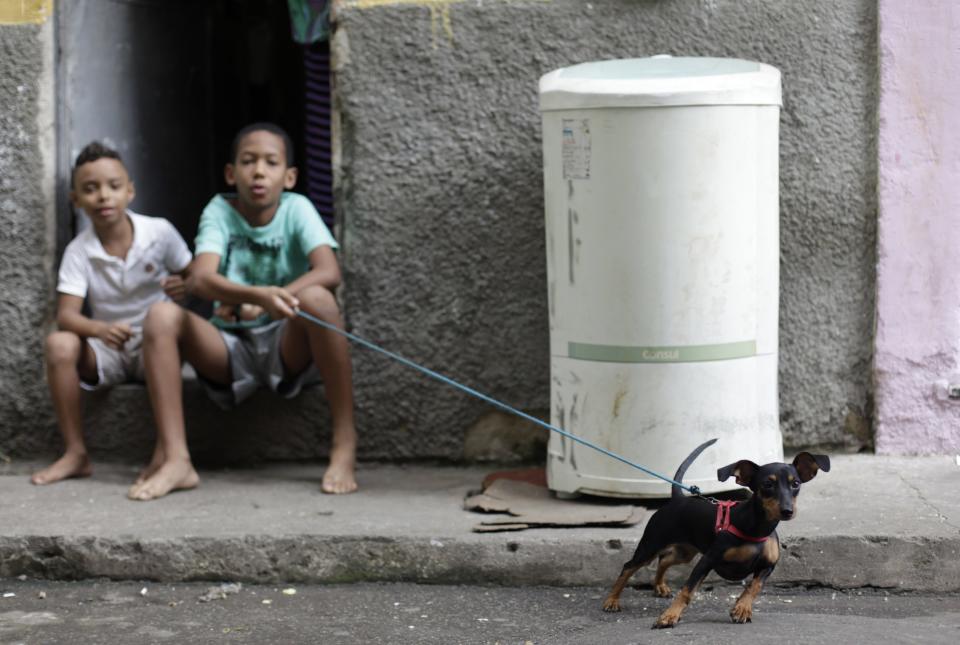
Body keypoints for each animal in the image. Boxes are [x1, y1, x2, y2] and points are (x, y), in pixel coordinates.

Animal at [604, 438, 828, 624]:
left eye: (796, 484)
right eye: (767, 484)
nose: (787, 511)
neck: (757, 527)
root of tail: (678, 498)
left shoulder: (767, 566)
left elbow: (754, 586)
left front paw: (742, 608)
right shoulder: (707, 560)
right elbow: (687, 591)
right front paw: (670, 616)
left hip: (685, 552)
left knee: (665, 560)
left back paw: (660, 586)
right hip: (651, 544)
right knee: (629, 567)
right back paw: (611, 601)